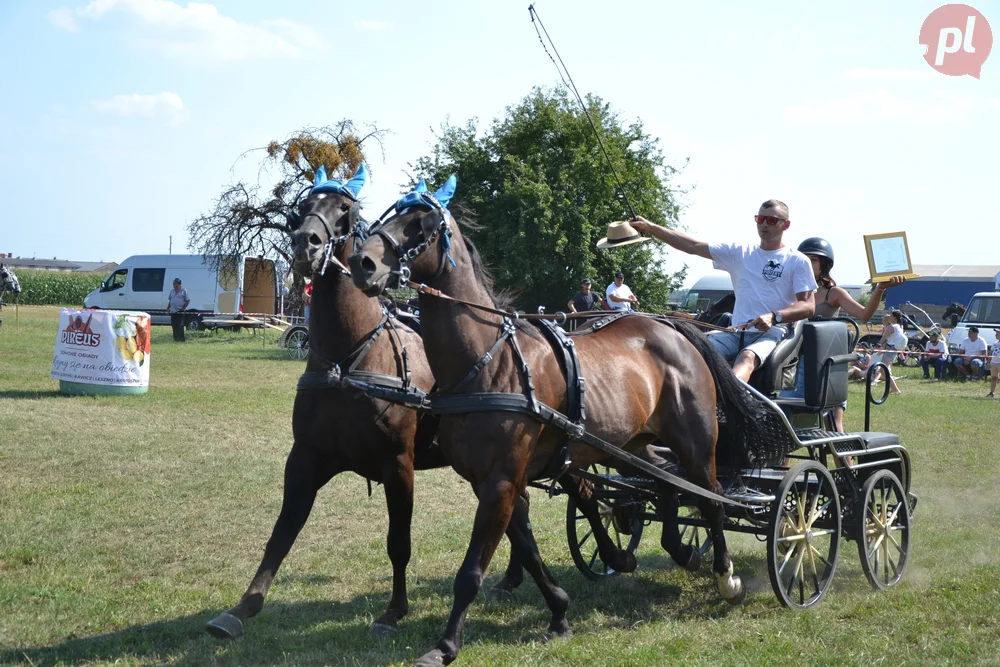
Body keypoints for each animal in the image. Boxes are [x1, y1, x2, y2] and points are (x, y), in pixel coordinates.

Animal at [201, 167, 532, 640]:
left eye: (345, 209)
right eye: (303, 206)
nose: (306, 243)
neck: (349, 358)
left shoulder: (398, 466)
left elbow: (399, 544)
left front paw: (393, 611)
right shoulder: (305, 458)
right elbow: (283, 532)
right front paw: (243, 606)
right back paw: (512, 578)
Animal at [350, 179, 756, 667]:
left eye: (421, 225)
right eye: (390, 215)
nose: (361, 262)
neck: (488, 363)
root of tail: (674, 327)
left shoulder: (501, 482)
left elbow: (472, 571)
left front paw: (445, 646)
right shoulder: (494, 482)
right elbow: (528, 549)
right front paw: (560, 612)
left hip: (696, 441)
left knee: (710, 500)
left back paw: (726, 578)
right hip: (633, 444)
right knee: (665, 481)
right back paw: (675, 550)